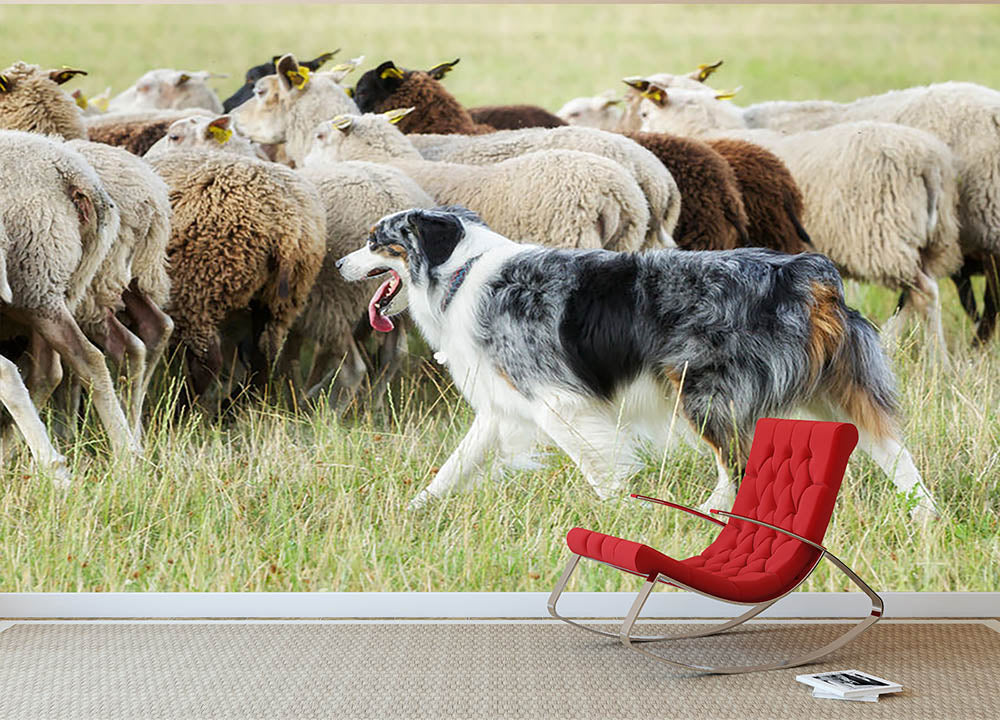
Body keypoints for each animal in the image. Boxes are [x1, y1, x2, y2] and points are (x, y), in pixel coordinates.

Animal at [145, 149, 325, 404]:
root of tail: (286, 223)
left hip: (198, 286)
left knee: (207, 361)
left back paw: (184, 407)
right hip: (282, 298)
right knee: (265, 357)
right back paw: (233, 405)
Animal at [635, 86, 963, 363]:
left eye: (645, 113)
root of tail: (930, 163)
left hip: (881, 237)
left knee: (925, 292)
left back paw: (938, 361)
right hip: (930, 241)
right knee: (916, 294)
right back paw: (893, 346)